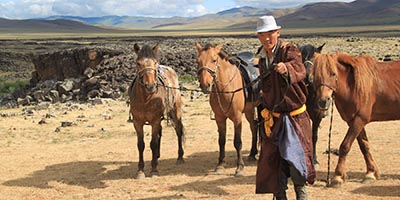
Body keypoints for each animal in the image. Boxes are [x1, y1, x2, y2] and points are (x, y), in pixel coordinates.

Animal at [129, 43, 185, 179]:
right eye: (138, 63)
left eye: (155, 62)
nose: (150, 86)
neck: (146, 98)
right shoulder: (137, 122)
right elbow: (141, 145)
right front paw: (140, 170)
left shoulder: (154, 121)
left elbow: (153, 143)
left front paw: (154, 170)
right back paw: (157, 156)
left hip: (176, 111)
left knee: (179, 131)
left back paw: (180, 157)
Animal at [195, 42, 260, 177]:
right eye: (197, 61)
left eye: (214, 60)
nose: (205, 85)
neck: (225, 88)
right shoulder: (219, 119)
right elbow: (221, 141)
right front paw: (220, 164)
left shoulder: (237, 118)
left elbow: (237, 142)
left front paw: (239, 167)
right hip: (249, 110)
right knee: (254, 127)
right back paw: (252, 153)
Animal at [310, 52, 400, 187]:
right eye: (315, 75)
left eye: (333, 74)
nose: (323, 101)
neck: (353, 86)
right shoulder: (353, 121)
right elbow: (364, 146)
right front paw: (370, 173)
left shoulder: (360, 119)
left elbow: (345, 146)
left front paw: (338, 177)